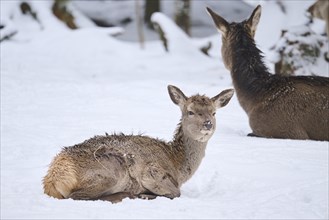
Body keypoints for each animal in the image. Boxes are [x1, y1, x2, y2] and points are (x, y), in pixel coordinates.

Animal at [43, 85, 233, 202]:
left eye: (214, 113)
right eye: (190, 112)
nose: (207, 124)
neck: (178, 167)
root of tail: (53, 177)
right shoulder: (152, 172)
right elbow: (176, 193)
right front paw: (148, 194)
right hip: (111, 169)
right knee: (77, 196)